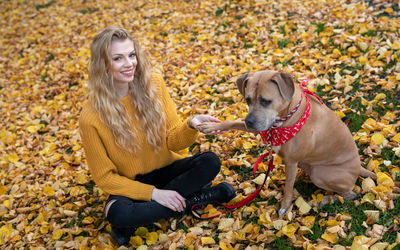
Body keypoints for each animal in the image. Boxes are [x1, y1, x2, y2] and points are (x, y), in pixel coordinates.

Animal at [198, 71, 376, 217]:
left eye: (266, 101)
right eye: (247, 99)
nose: (249, 122)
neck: (283, 120)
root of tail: (359, 168)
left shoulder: (291, 161)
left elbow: (288, 188)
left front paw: (284, 207)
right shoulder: (264, 128)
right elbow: (233, 122)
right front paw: (210, 126)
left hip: (320, 174)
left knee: (349, 194)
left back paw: (322, 201)